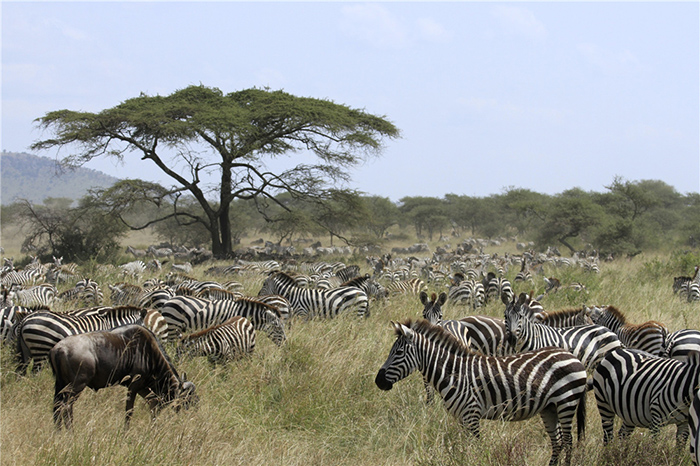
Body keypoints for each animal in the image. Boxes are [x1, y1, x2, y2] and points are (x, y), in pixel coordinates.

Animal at [374, 318, 588, 466]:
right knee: (557, 441)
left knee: (568, 440)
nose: (378, 381)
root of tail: (572, 356)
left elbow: (475, 447)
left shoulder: (471, 414)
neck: (453, 373)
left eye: (398, 353)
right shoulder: (461, 417)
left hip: (566, 401)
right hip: (550, 407)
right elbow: (463, 447)